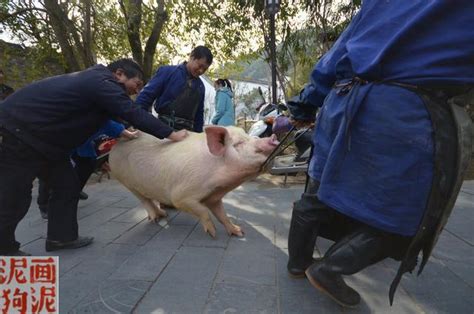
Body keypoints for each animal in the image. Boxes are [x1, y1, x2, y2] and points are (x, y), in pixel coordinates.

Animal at [109, 126, 280, 237]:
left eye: (252, 137)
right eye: (238, 144)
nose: (272, 138)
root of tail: (115, 148)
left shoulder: (214, 197)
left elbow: (222, 215)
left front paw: (239, 232)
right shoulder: (181, 195)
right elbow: (201, 210)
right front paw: (213, 234)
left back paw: (163, 215)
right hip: (124, 180)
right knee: (144, 199)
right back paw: (158, 217)